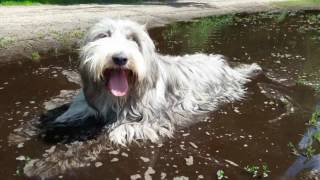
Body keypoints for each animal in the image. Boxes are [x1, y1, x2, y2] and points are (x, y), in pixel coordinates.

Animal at [45, 18, 262, 146]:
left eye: (133, 39)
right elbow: (82, 103)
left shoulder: (157, 116)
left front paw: (116, 131)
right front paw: (67, 114)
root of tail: (226, 68)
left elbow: (135, 125)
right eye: (103, 35)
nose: (120, 58)